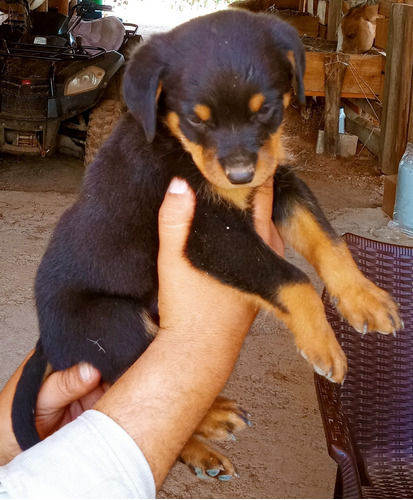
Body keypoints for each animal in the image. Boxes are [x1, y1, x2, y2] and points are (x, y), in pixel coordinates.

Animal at [12, 7, 400, 476]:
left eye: (267, 110)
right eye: (196, 119)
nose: (240, 176)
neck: (175, 142)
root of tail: (47, 341)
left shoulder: (278, 182)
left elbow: (328, 241)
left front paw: (367, 299)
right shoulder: (207, 233)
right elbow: (291, 277)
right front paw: (323, 344)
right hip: (112, 321)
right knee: (129, 378)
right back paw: (210, 422)